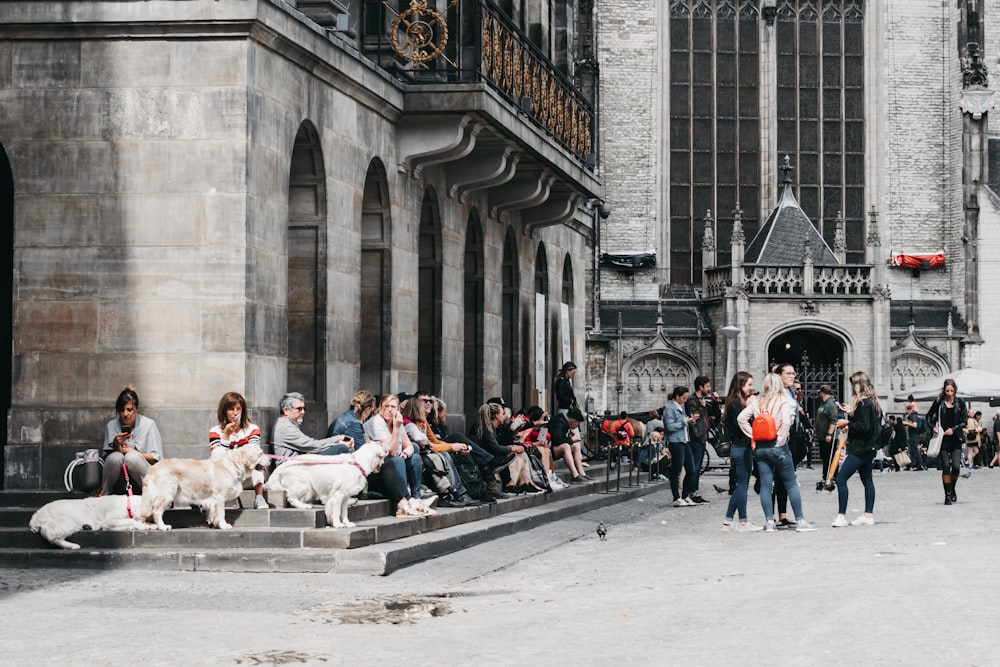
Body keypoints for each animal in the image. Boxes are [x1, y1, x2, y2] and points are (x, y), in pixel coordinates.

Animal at [139, 444, 270, 532]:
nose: (271, 459)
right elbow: (221, 513)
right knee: (156, 511)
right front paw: (224, 525)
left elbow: (214, 513)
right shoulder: (220, 497)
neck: (234, 465)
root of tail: (152, 468)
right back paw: (163, 526)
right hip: (167, 493)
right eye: (261, 453)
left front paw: (215, 523)